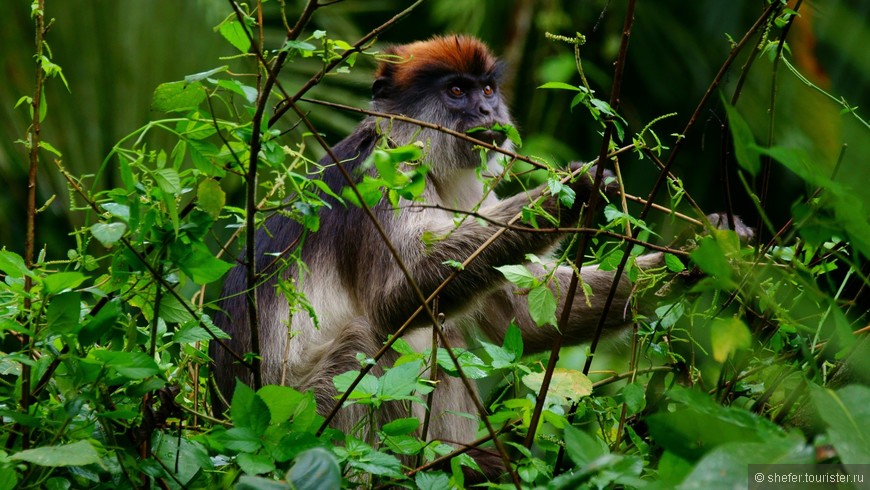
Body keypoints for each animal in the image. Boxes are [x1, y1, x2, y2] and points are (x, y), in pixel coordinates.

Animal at [215, 36, 664, 480]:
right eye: (457, 91)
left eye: (487, 89)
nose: (487, 111)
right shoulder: (383, 173)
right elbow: (391, 301)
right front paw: (574, 190)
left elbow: (521, 320)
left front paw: (673, 271)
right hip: (307, 422)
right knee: (367, 339)